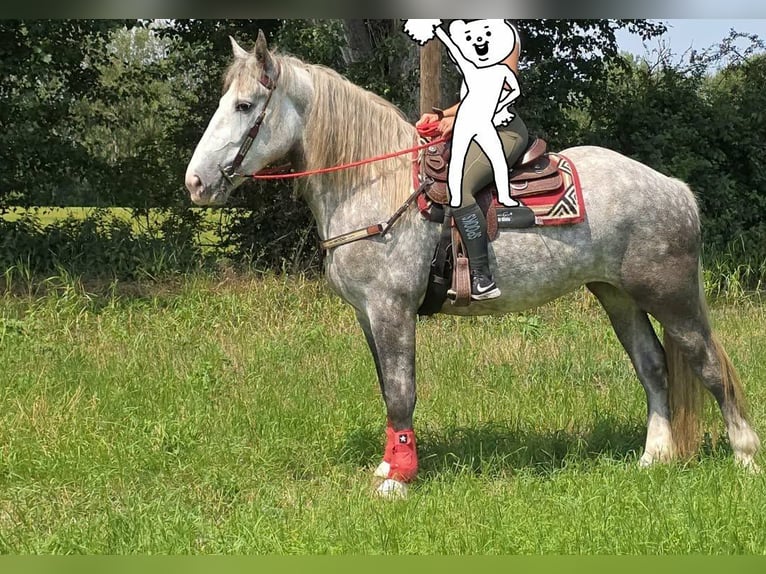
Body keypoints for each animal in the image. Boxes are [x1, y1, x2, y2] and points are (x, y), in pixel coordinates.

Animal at [184, 32, 760, 497]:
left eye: (244, 105)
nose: (196, 182)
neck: (374, 186)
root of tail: (675, 189)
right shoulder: (367, 314)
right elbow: (387, 390)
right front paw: (388, 466)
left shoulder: (391, 310)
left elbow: (402, 392)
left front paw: (399, 480)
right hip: (617, 296)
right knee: (653, 365)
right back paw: (653, 458)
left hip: (671, 296)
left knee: (710, 365)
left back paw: (747, 458)